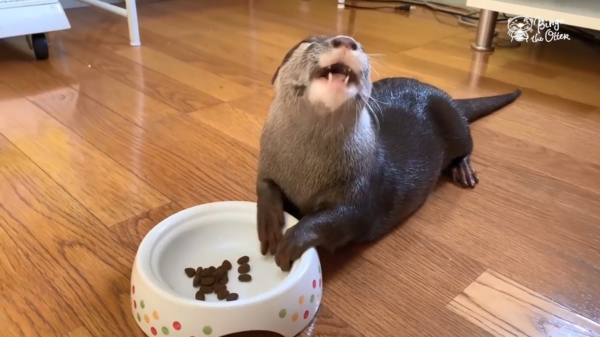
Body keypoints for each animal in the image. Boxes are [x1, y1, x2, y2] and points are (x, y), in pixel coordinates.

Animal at [258, 34, 520, 270]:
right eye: (310, 42)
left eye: (362, 47)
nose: (347, 41)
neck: (306, 170)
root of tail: (447, 97)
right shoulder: (268, 160)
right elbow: (264, 185)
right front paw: (268, 221)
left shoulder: (365, 188)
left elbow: (342, 218)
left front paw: (294, 238)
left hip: (454, 121)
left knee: (466, 145)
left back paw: (463, 170)